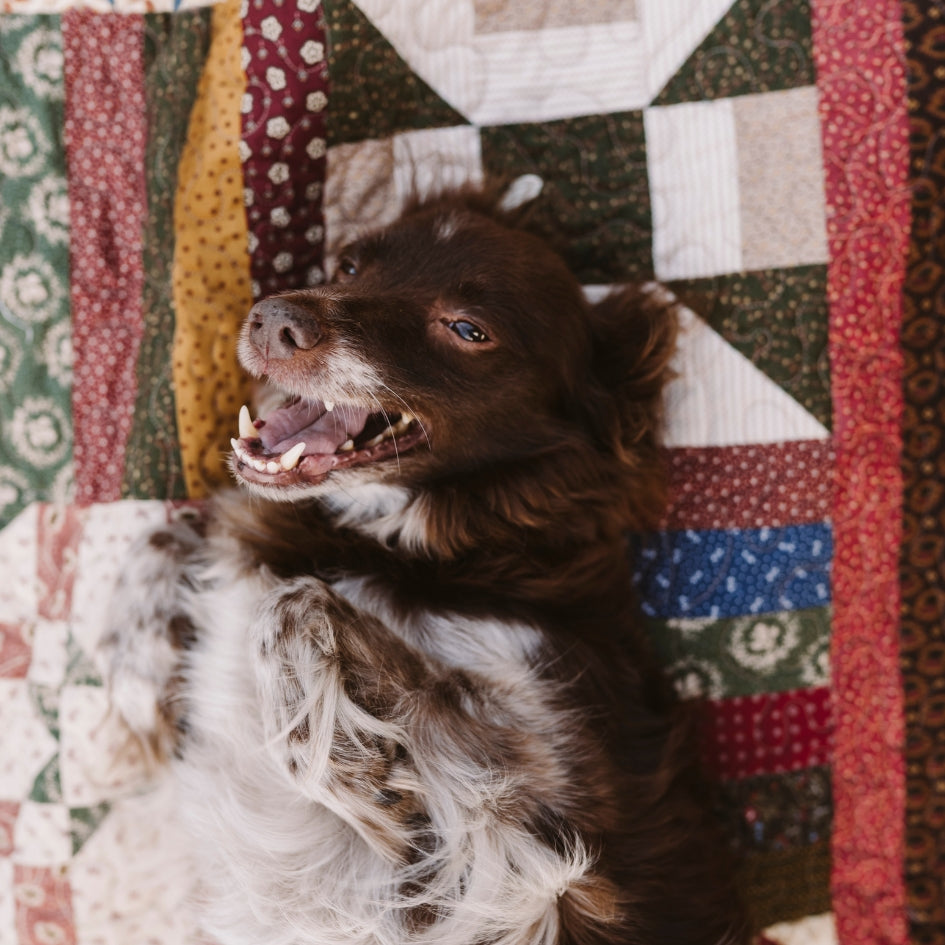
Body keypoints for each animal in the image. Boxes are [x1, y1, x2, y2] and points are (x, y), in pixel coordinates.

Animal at [97, 179, 744, 944]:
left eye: (467, 329)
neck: (431, 544)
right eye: (350, 265)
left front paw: (363, 780)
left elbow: (293, 603)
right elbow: (173, 536)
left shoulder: (563, 857)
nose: (273, 320)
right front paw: (135, 693)